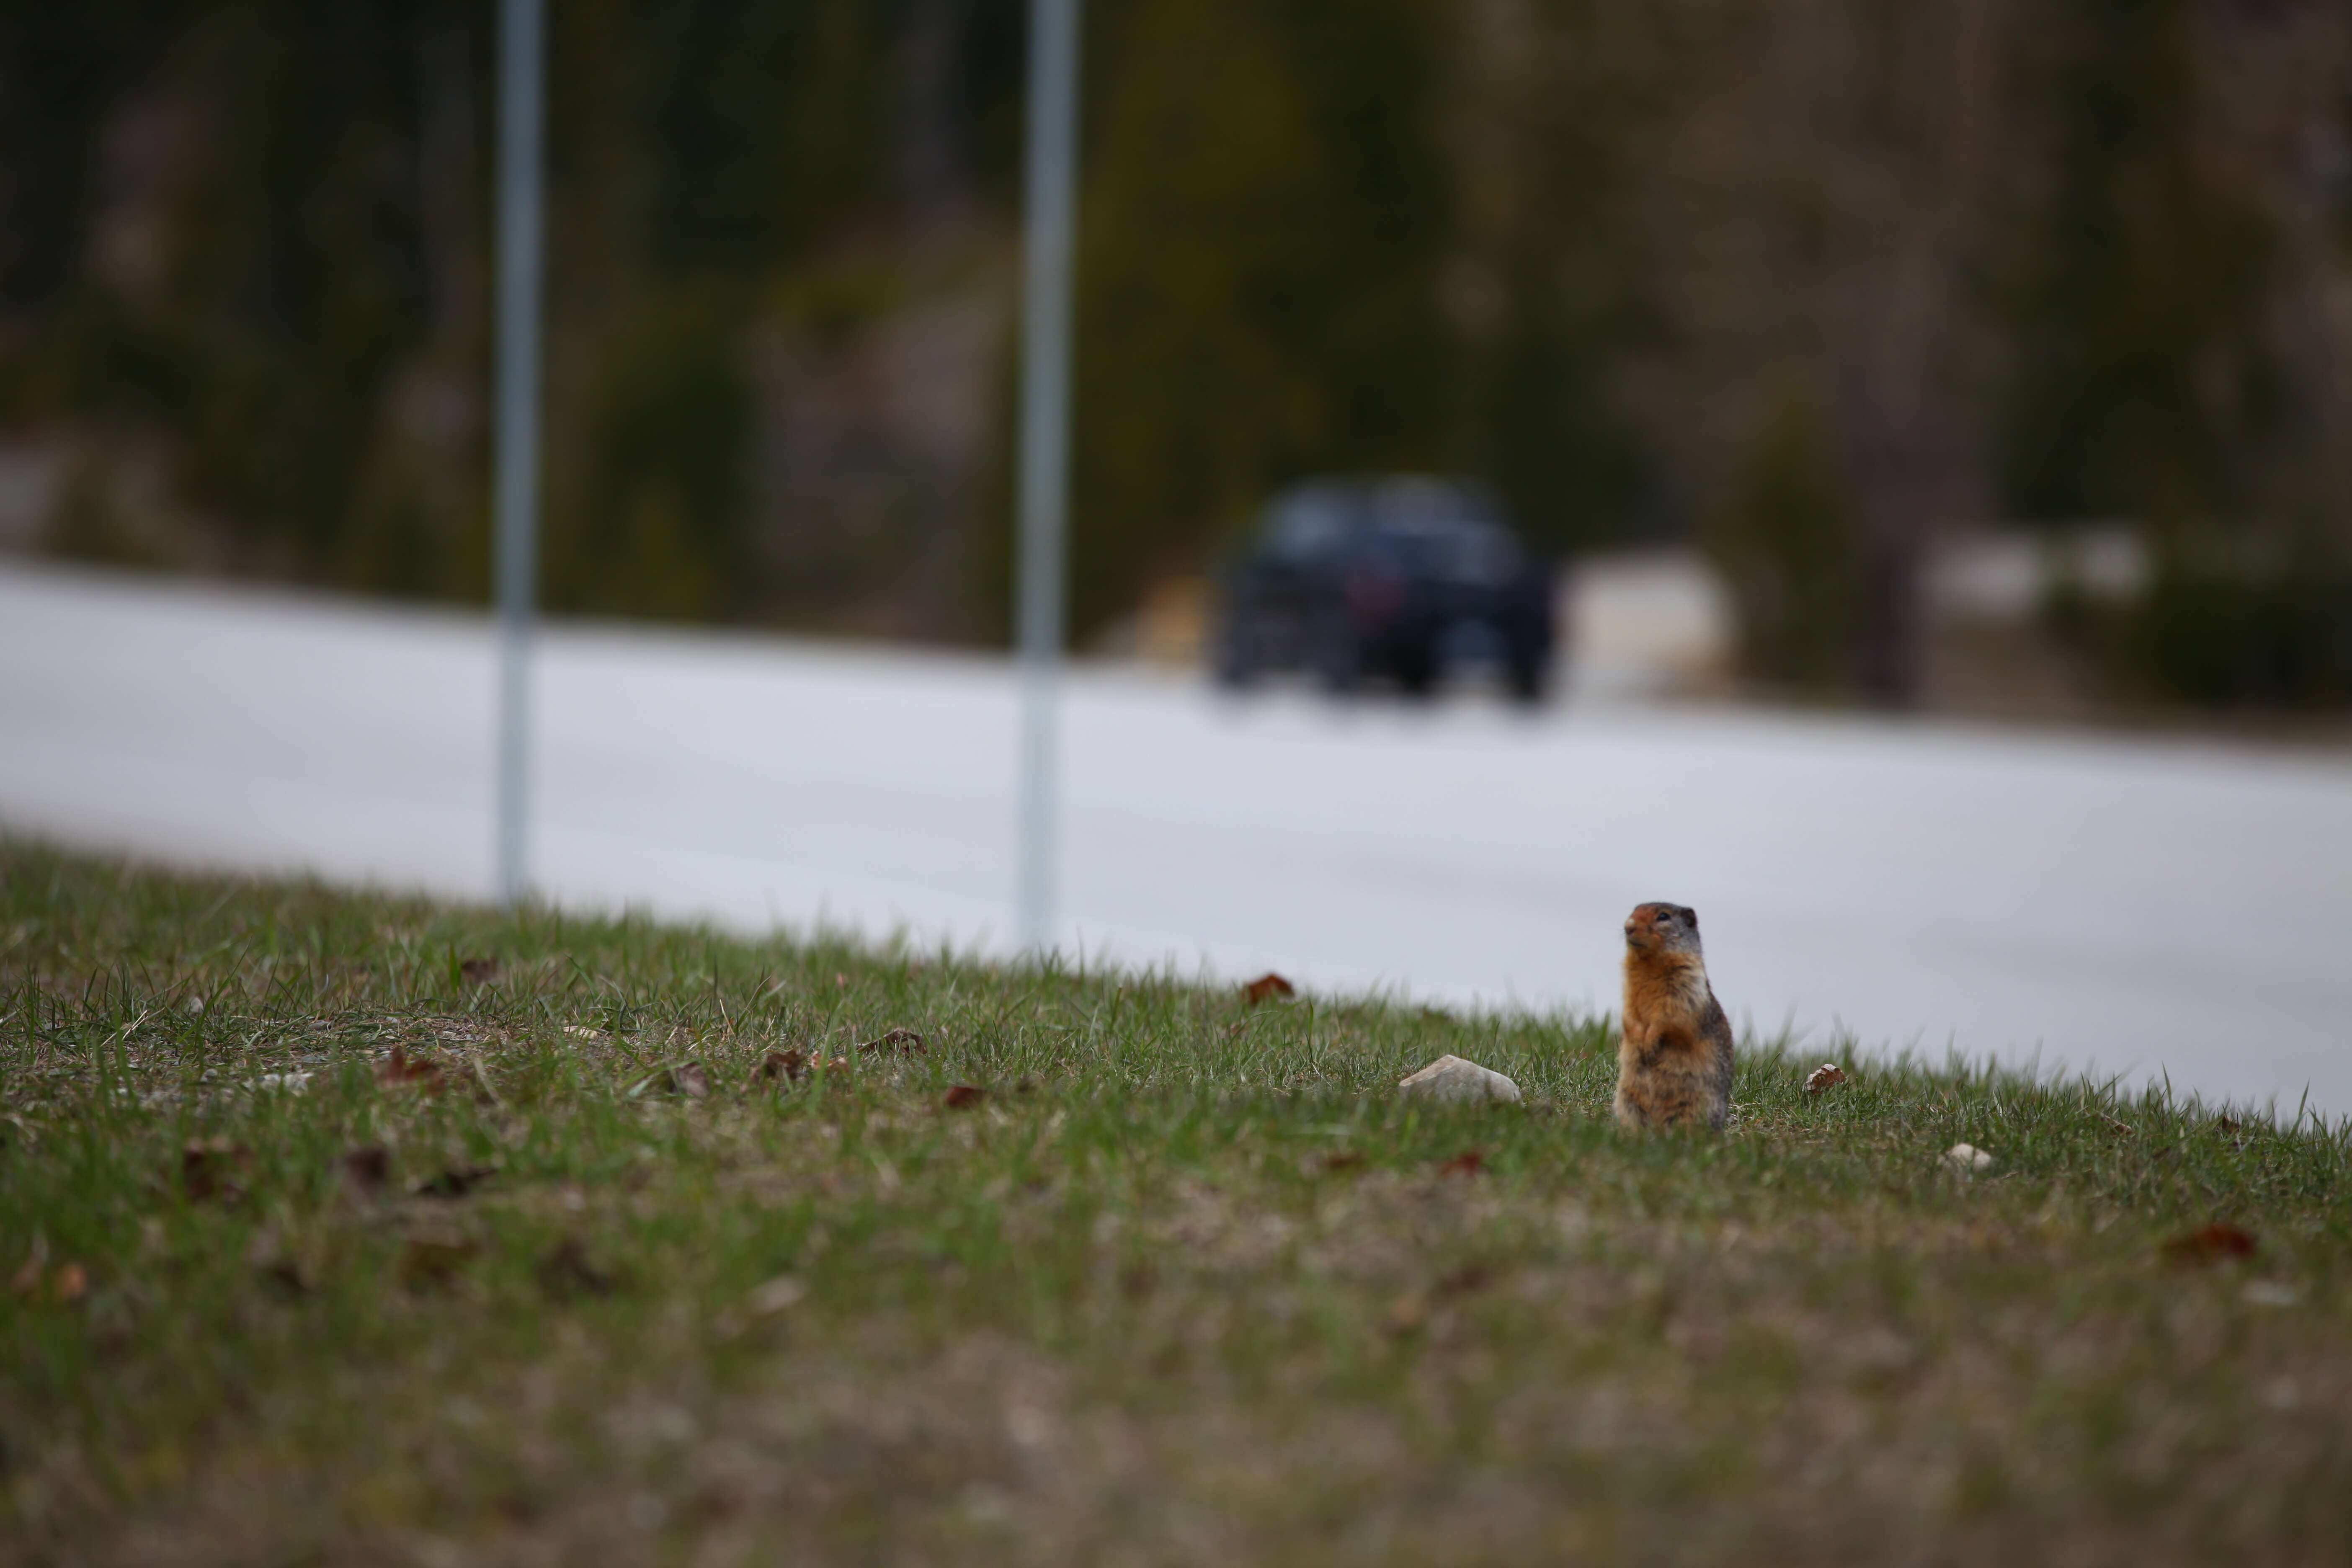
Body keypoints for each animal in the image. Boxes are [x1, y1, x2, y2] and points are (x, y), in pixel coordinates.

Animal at [1609, 903, 1740, 1133]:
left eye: (1663, 917)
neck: (1649, 963)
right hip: (1627, 1099)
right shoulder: (1629, 990)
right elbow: (1630, 1014)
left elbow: (1671, 1017)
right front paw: (1639, 1041)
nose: (1628, 926)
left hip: (1697, 1105)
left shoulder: (1686, 985)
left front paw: (1650, 1043)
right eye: (1634, 910)